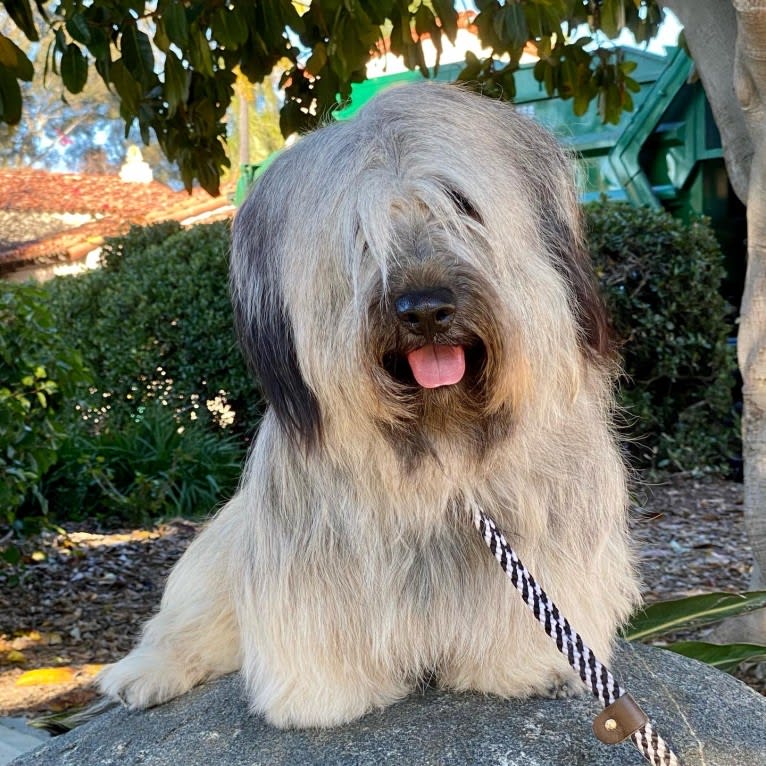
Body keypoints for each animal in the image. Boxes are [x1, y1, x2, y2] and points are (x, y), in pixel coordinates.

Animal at [100, 81, 640, 728]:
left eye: (462, 205)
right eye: (358, 231)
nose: (425, 309)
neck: (441, 445)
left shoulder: (546, 535)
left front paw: (530, 665)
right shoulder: (306, 554)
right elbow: (310, 617)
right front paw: (322, 692)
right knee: (181, 624)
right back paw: (145, 673)